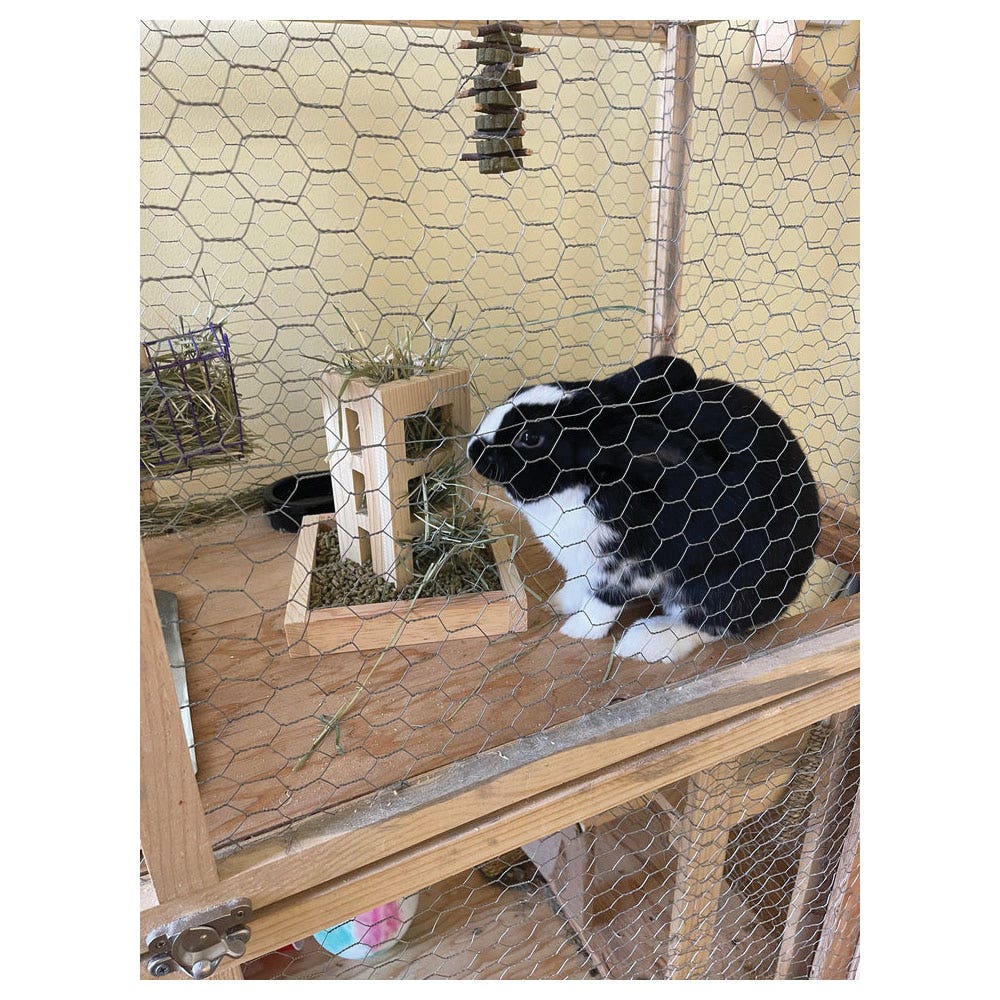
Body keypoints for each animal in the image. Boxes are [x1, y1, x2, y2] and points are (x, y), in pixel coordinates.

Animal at [467, 354, 821, 663]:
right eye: (515, 394)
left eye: (530, 437)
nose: (473, 448)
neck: (585, 483)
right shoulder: (584, 565)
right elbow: (577, 586)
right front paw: (559, 603)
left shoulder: (627, 567)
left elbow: (603, 604)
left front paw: (577, 631)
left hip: (723, 586)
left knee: (709, 623)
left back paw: (644, 643)